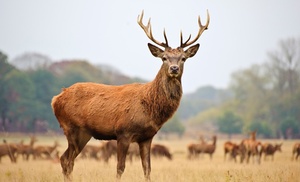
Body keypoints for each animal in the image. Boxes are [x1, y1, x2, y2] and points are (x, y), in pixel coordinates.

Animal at [51, 10, 209, 182]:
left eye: (183, 58)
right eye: (164, 58)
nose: (174, 68)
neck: (150, 107)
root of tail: (56, 99)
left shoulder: (147, 137)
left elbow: (147, 168)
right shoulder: (123, 132)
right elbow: (120, 167)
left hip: (83, 133)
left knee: (66, 159)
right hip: (72, 127)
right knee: (66, 159)